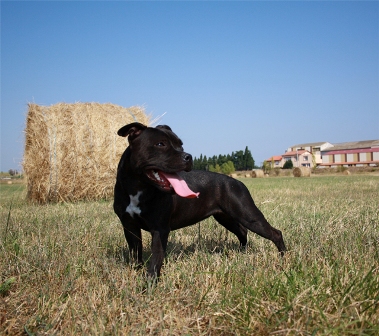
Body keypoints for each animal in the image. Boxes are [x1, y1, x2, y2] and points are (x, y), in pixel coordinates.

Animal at [114, 122, 286, 276]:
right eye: (160, 144)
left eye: (181, 145)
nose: (188, 156)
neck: (137, 188)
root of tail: (237, 181)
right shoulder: (130, 227)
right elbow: (136, 253)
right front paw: (136, 273)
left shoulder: (159, 229)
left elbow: (156, 259)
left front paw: (150, 284)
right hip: (226, 217)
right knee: (242, 231)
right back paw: (242, 252)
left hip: (248, 215)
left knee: (275, 233)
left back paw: (284, 258)